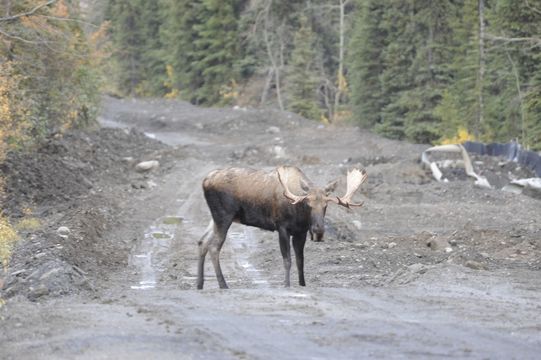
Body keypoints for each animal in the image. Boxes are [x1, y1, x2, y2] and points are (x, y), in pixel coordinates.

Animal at [195, 166, 368, 290]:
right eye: (308, 204)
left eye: (326, 205)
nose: (318, 230)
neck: (299, 214)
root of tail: (204, 181)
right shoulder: (282, 227)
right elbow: (287, 260)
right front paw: (286, 284)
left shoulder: (300, 232)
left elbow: (300, 260)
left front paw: (302, 284)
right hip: (224, 216)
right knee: (214, 247)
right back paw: (223, 284)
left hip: (215, 218)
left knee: (202, 241)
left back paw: (199, 284)